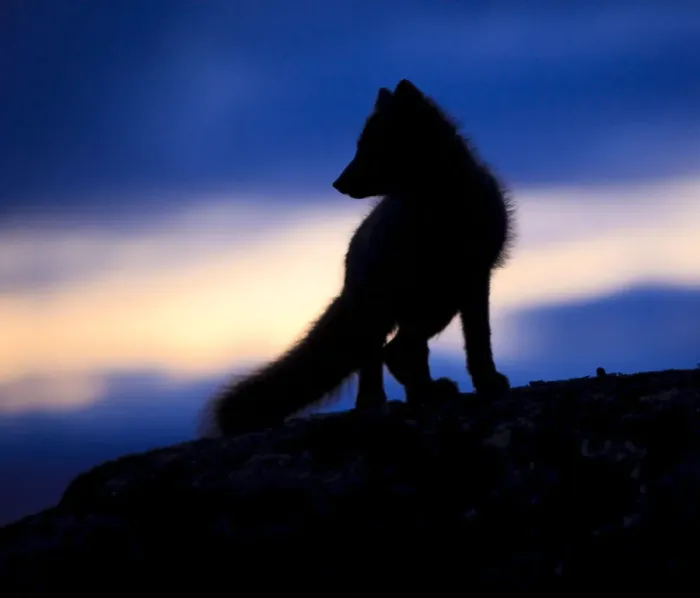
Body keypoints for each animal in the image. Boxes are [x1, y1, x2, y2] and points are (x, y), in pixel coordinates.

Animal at [200, 79, 515, 437]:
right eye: (358, 147)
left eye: (372, 148)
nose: (337, 183)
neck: (441, 213)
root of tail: (348, 277)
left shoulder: (476, 278)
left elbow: (479, 341)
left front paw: (487, 382)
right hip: (395, 308)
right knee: (385, 355)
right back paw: (382, 403)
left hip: (436, 304)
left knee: (399, 351)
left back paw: (422, 394)